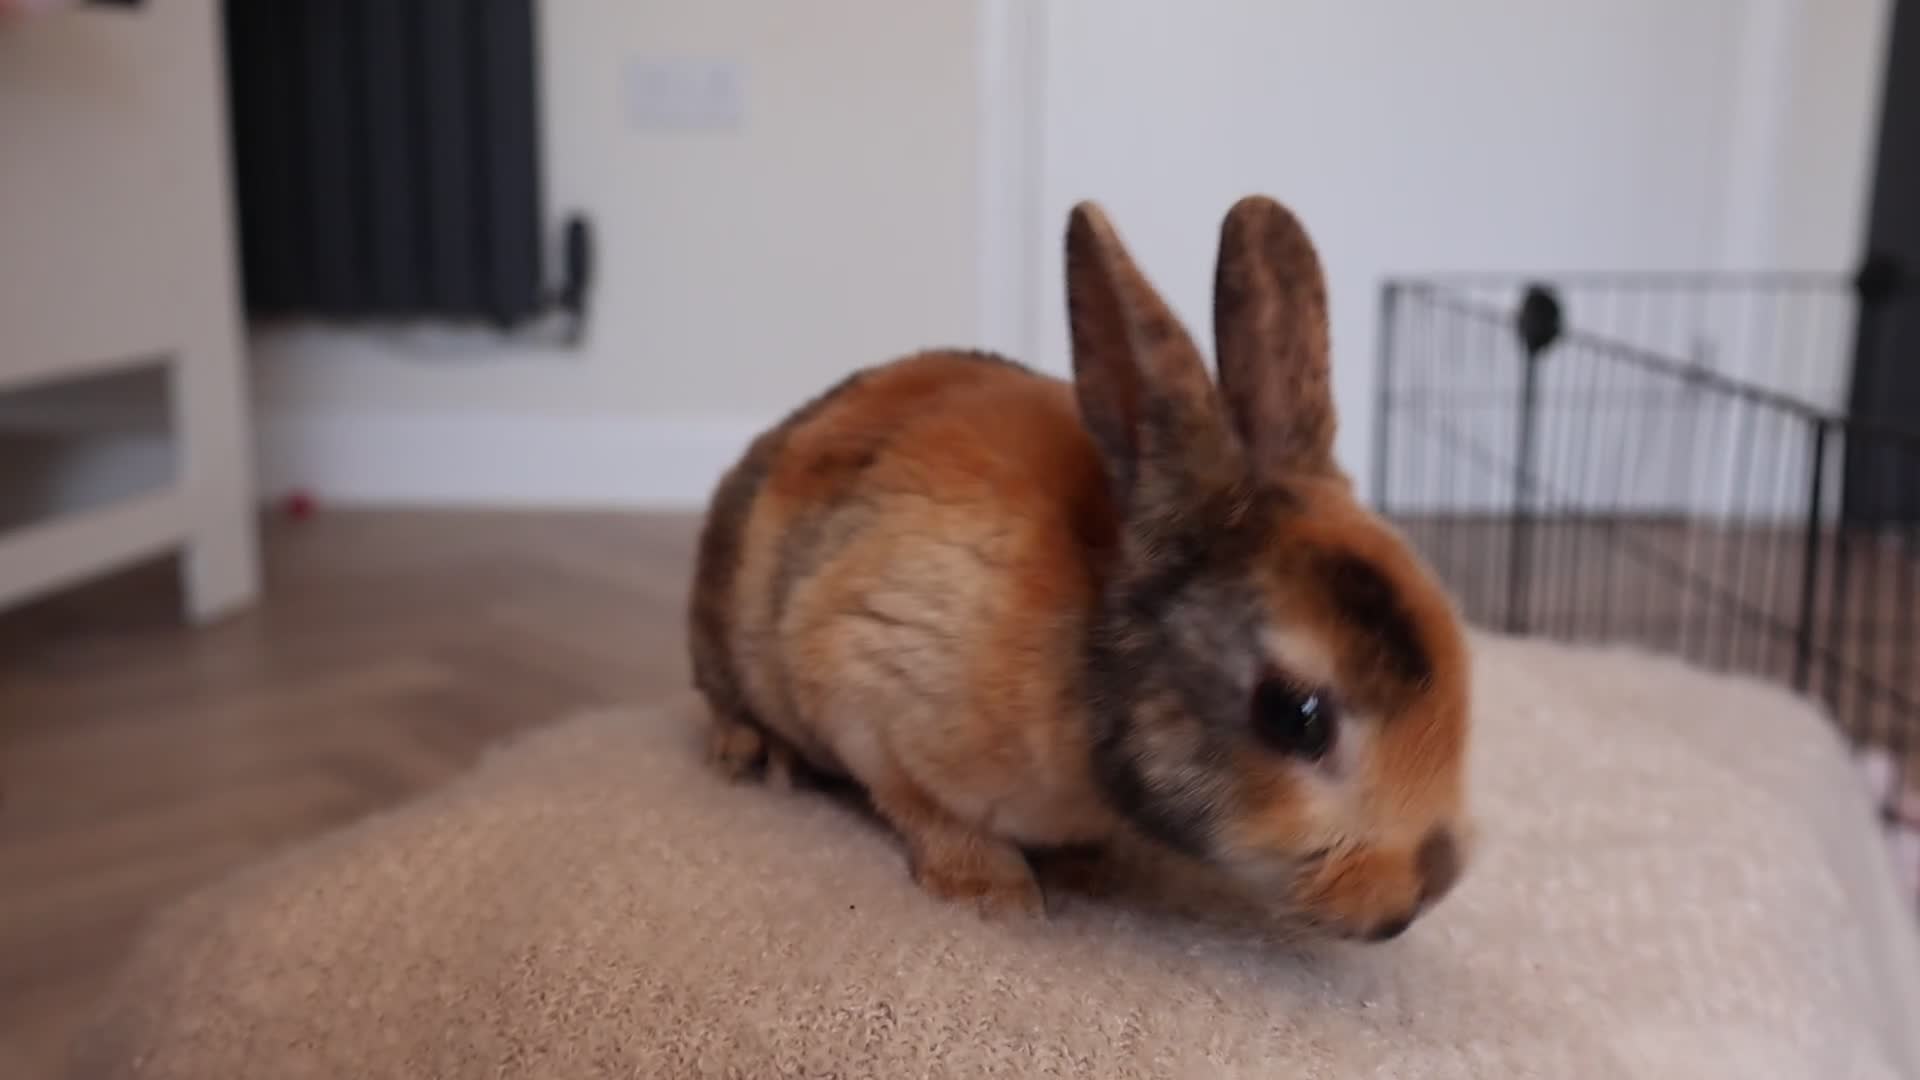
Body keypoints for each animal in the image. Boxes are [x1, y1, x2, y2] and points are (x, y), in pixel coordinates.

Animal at [686, 195, 1473, 941]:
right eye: (1296, 716)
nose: (1404, 908)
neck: (1088, 639)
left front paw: (1087, 871)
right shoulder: (864, 689)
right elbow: (925, 808)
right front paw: (993, 896)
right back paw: (755, 754)